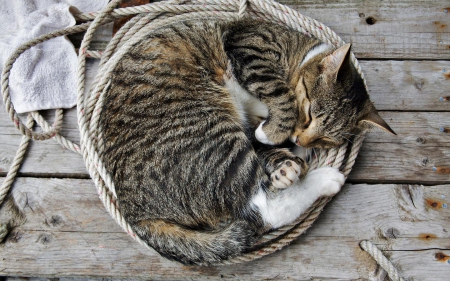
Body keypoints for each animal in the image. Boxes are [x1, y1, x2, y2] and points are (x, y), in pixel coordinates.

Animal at [100, 18, 396, 264]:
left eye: (325, 138)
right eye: (310, 112)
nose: (301, 140)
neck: (296, 51)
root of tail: (137, 212)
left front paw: (284, 159)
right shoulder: (249, 45)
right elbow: (281, 93)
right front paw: (276, 135)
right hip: (214, 136)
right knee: (264, 209)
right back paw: (325, 179)